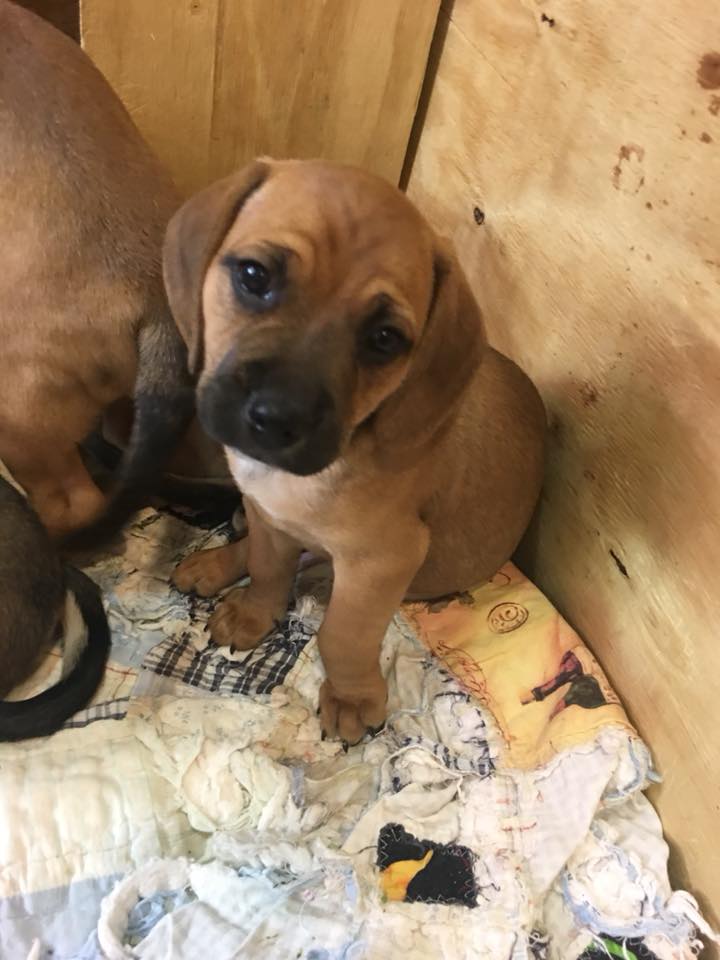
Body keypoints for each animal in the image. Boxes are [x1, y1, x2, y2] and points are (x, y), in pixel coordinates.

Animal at [166, 159, 546, 745]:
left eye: (384, 339)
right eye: (254, 276)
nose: (276, 418)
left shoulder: (382, 560)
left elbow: (342, 632)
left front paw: (350, 696)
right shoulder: (268, 515)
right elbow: (267, 566)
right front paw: (254, 614)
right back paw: (214, 564)